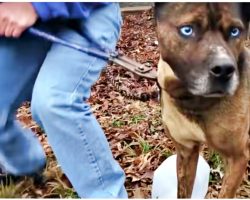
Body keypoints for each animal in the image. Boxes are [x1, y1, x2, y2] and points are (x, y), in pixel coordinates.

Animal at [154, 3, 250, 198]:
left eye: (235, 31)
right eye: (187, 30)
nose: (224, 70)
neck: (192, 99)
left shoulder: (238, 157)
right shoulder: (186, 151)